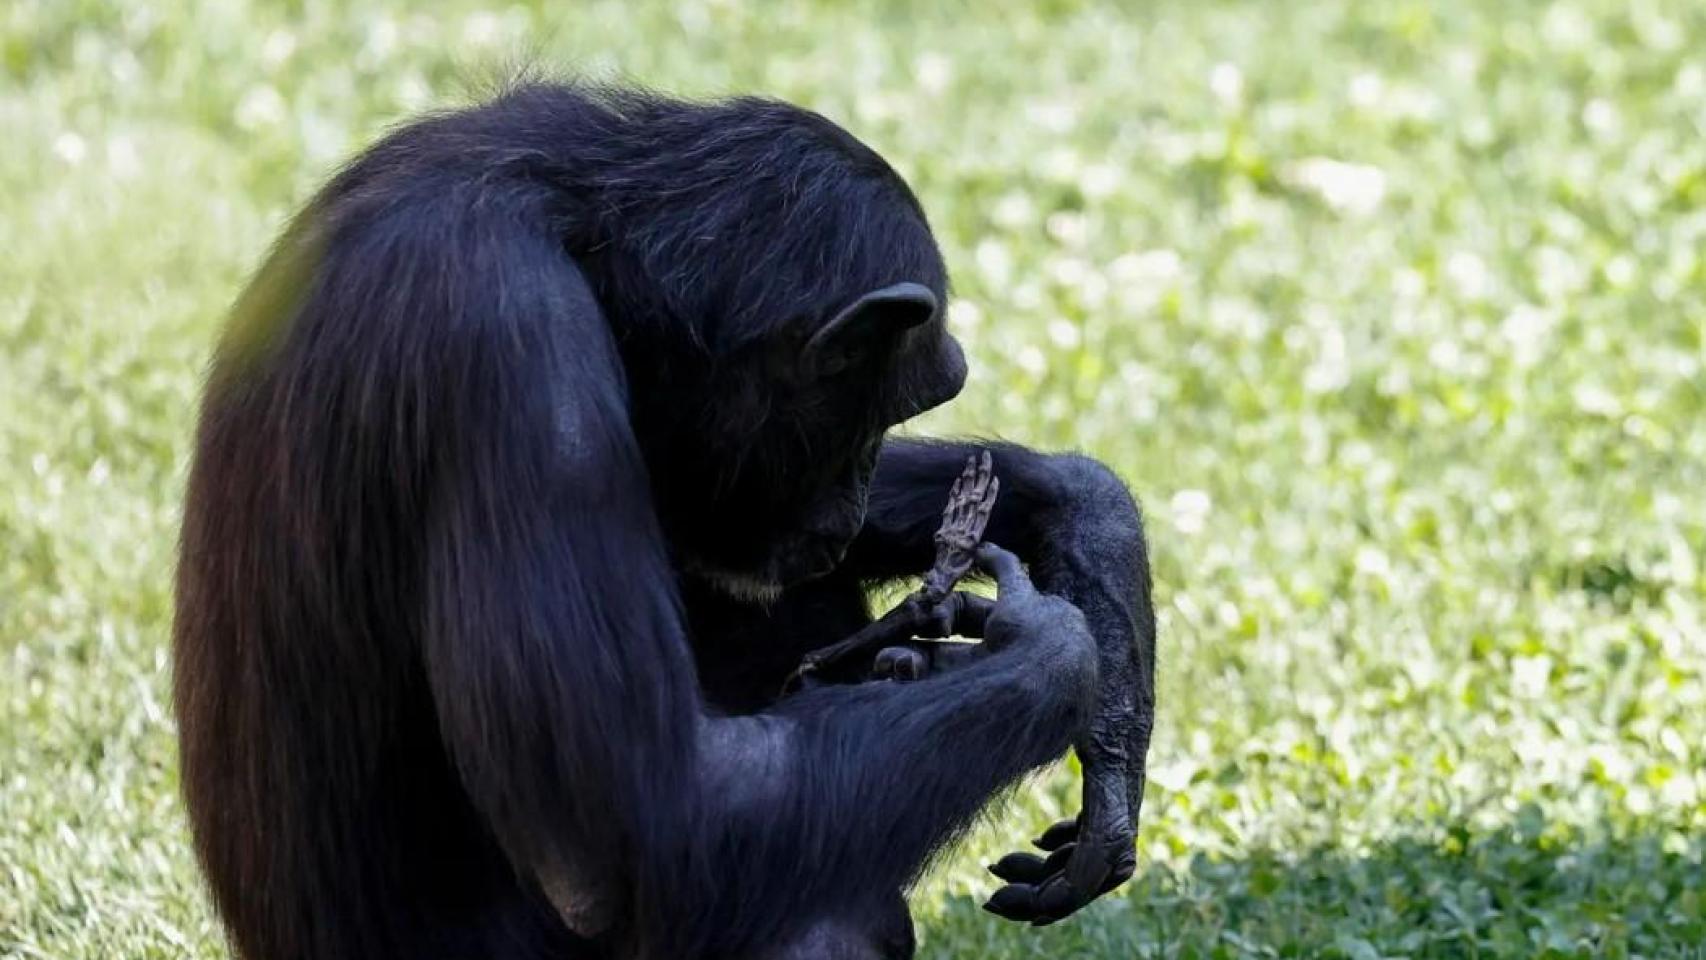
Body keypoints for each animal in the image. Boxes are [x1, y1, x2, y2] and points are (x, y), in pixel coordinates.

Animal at [176, 82, 1160, 960]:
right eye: (879, 411)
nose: (846, 512)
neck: (576, 232)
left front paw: (1092, 552)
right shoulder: (517, 362)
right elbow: (637, 830)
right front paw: (1051, 649)